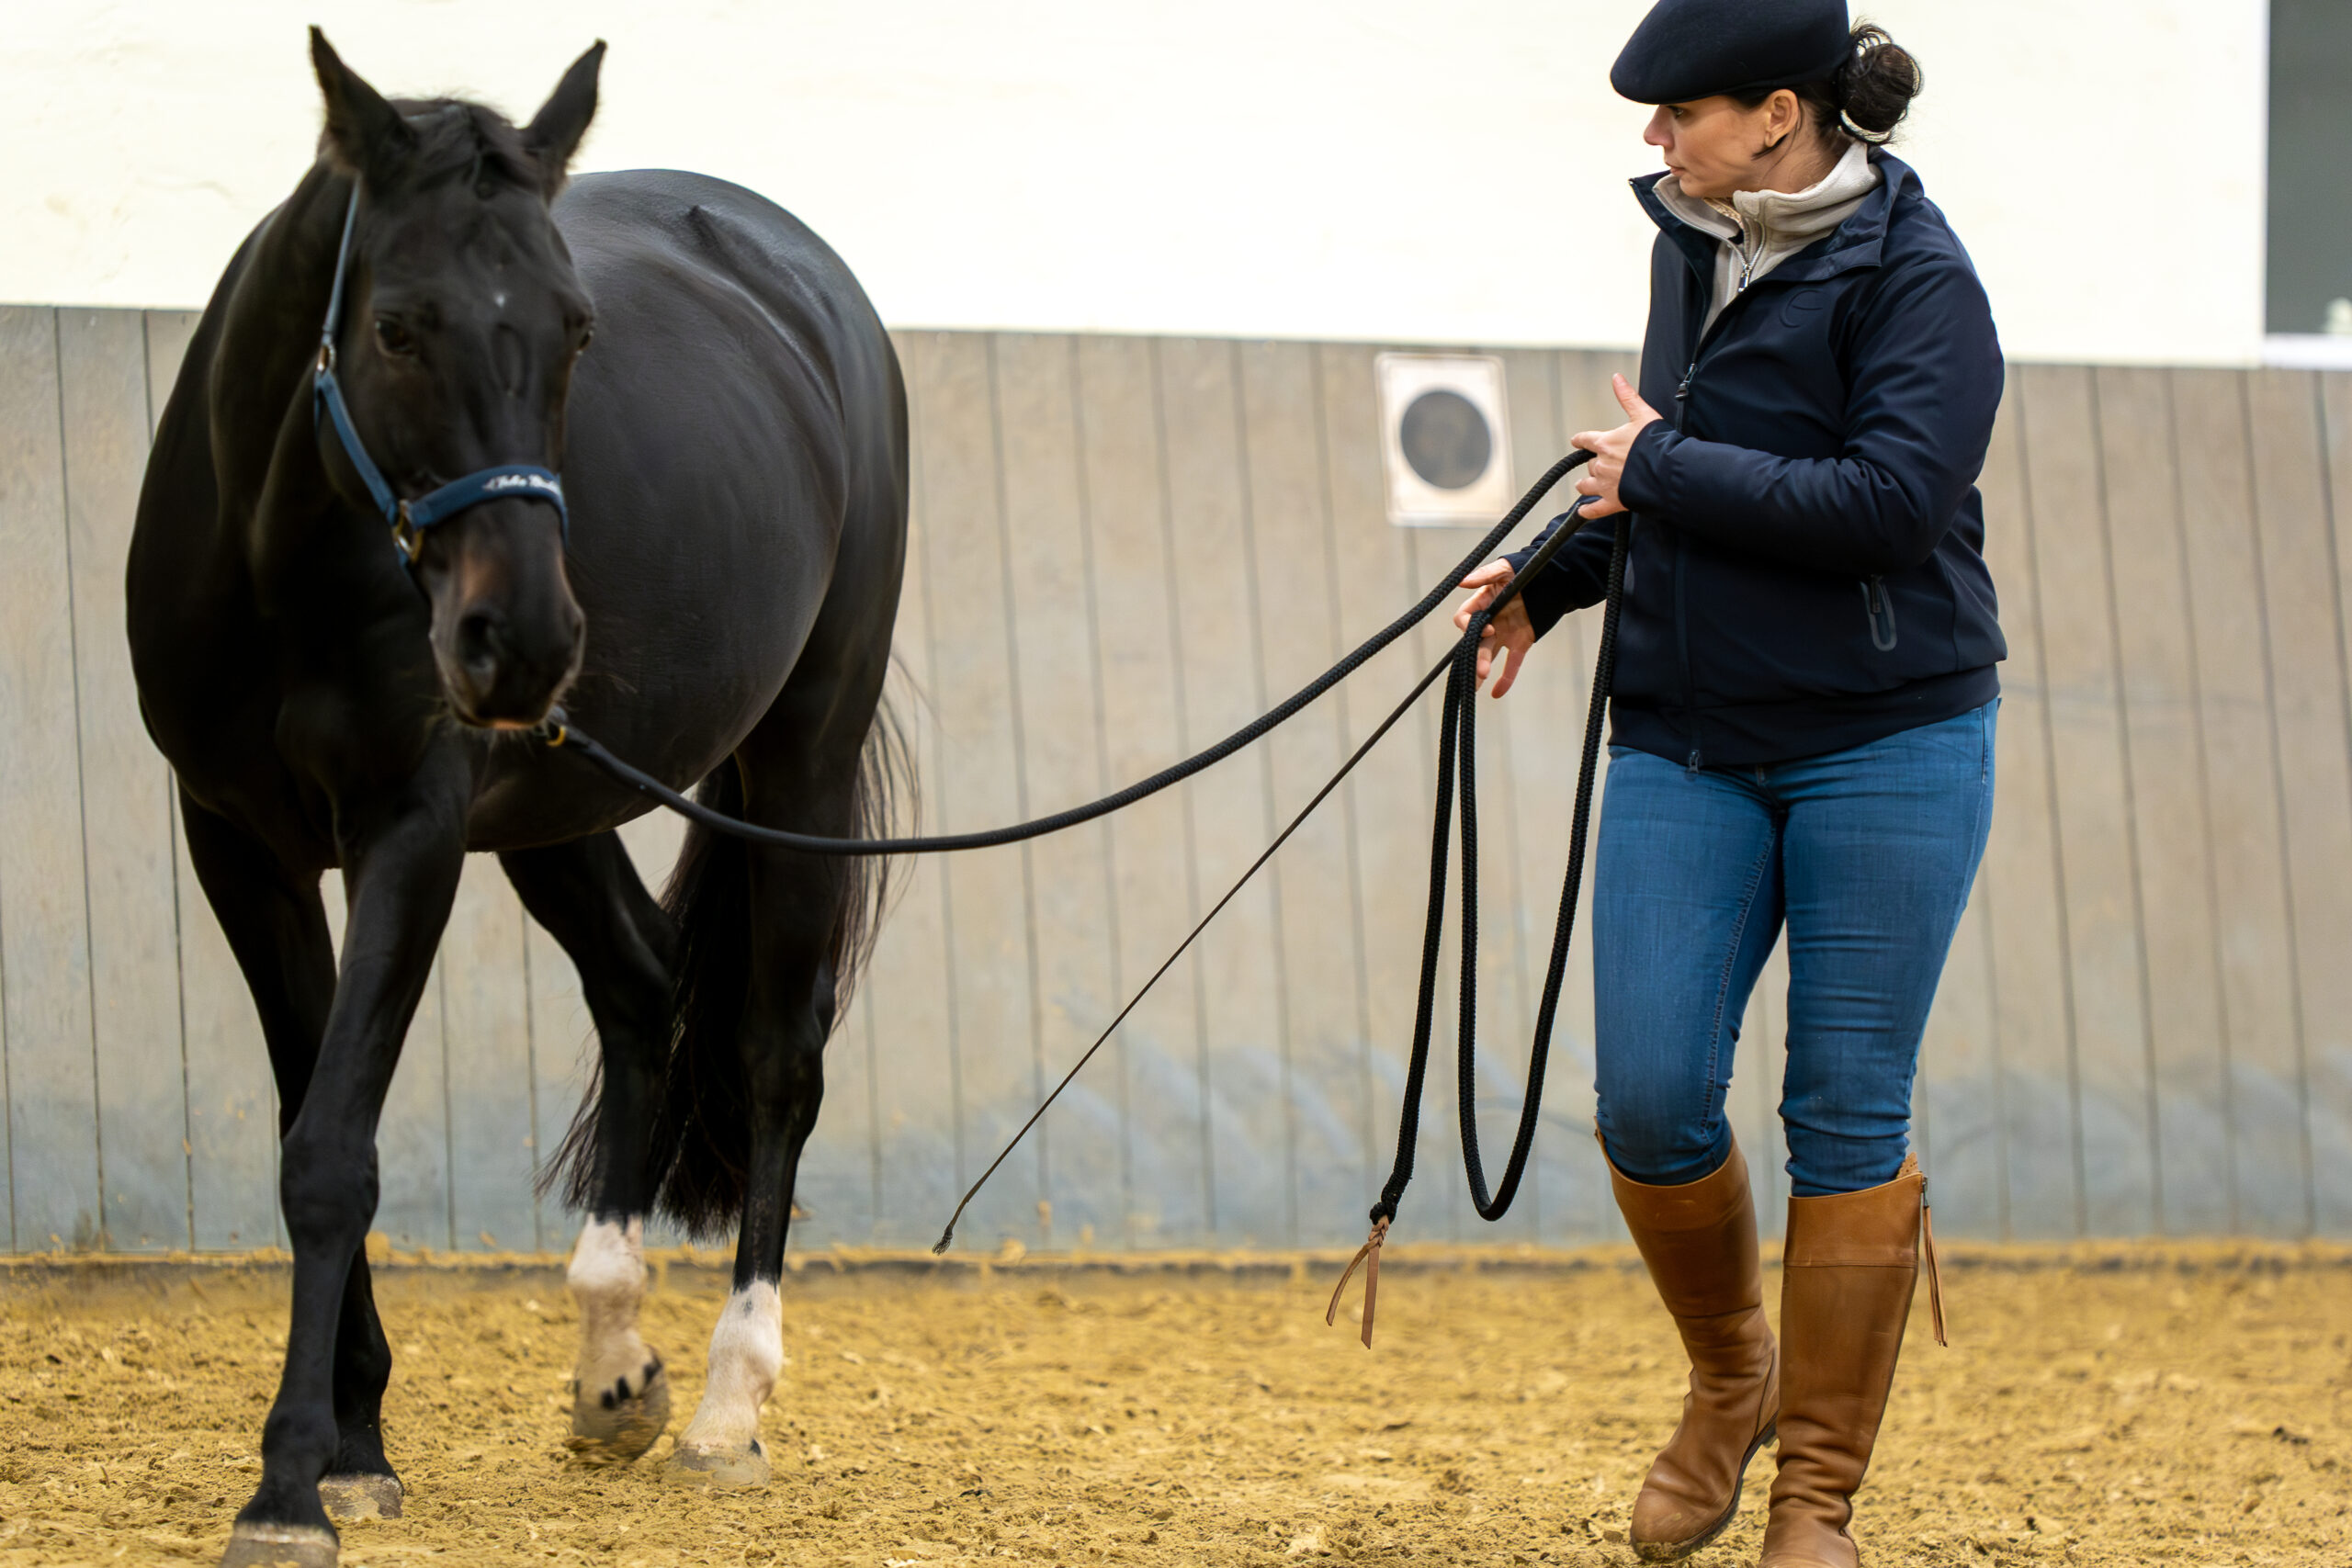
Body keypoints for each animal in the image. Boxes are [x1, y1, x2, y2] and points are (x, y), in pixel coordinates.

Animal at [126, 32, 907, 1566]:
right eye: (395, 327)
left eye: (578, 333)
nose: (528, 637)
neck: (286, 567)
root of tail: (810, 285)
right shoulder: (238, 844)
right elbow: (313, 1112)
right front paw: (356, 1444)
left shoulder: (411, 836)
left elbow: (332, 1151)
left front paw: (291, 1483)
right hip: (558, 805)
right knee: (642, 983)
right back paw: (614, 1361)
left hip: (804, 758)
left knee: (777, 1054)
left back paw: (726, 1407)